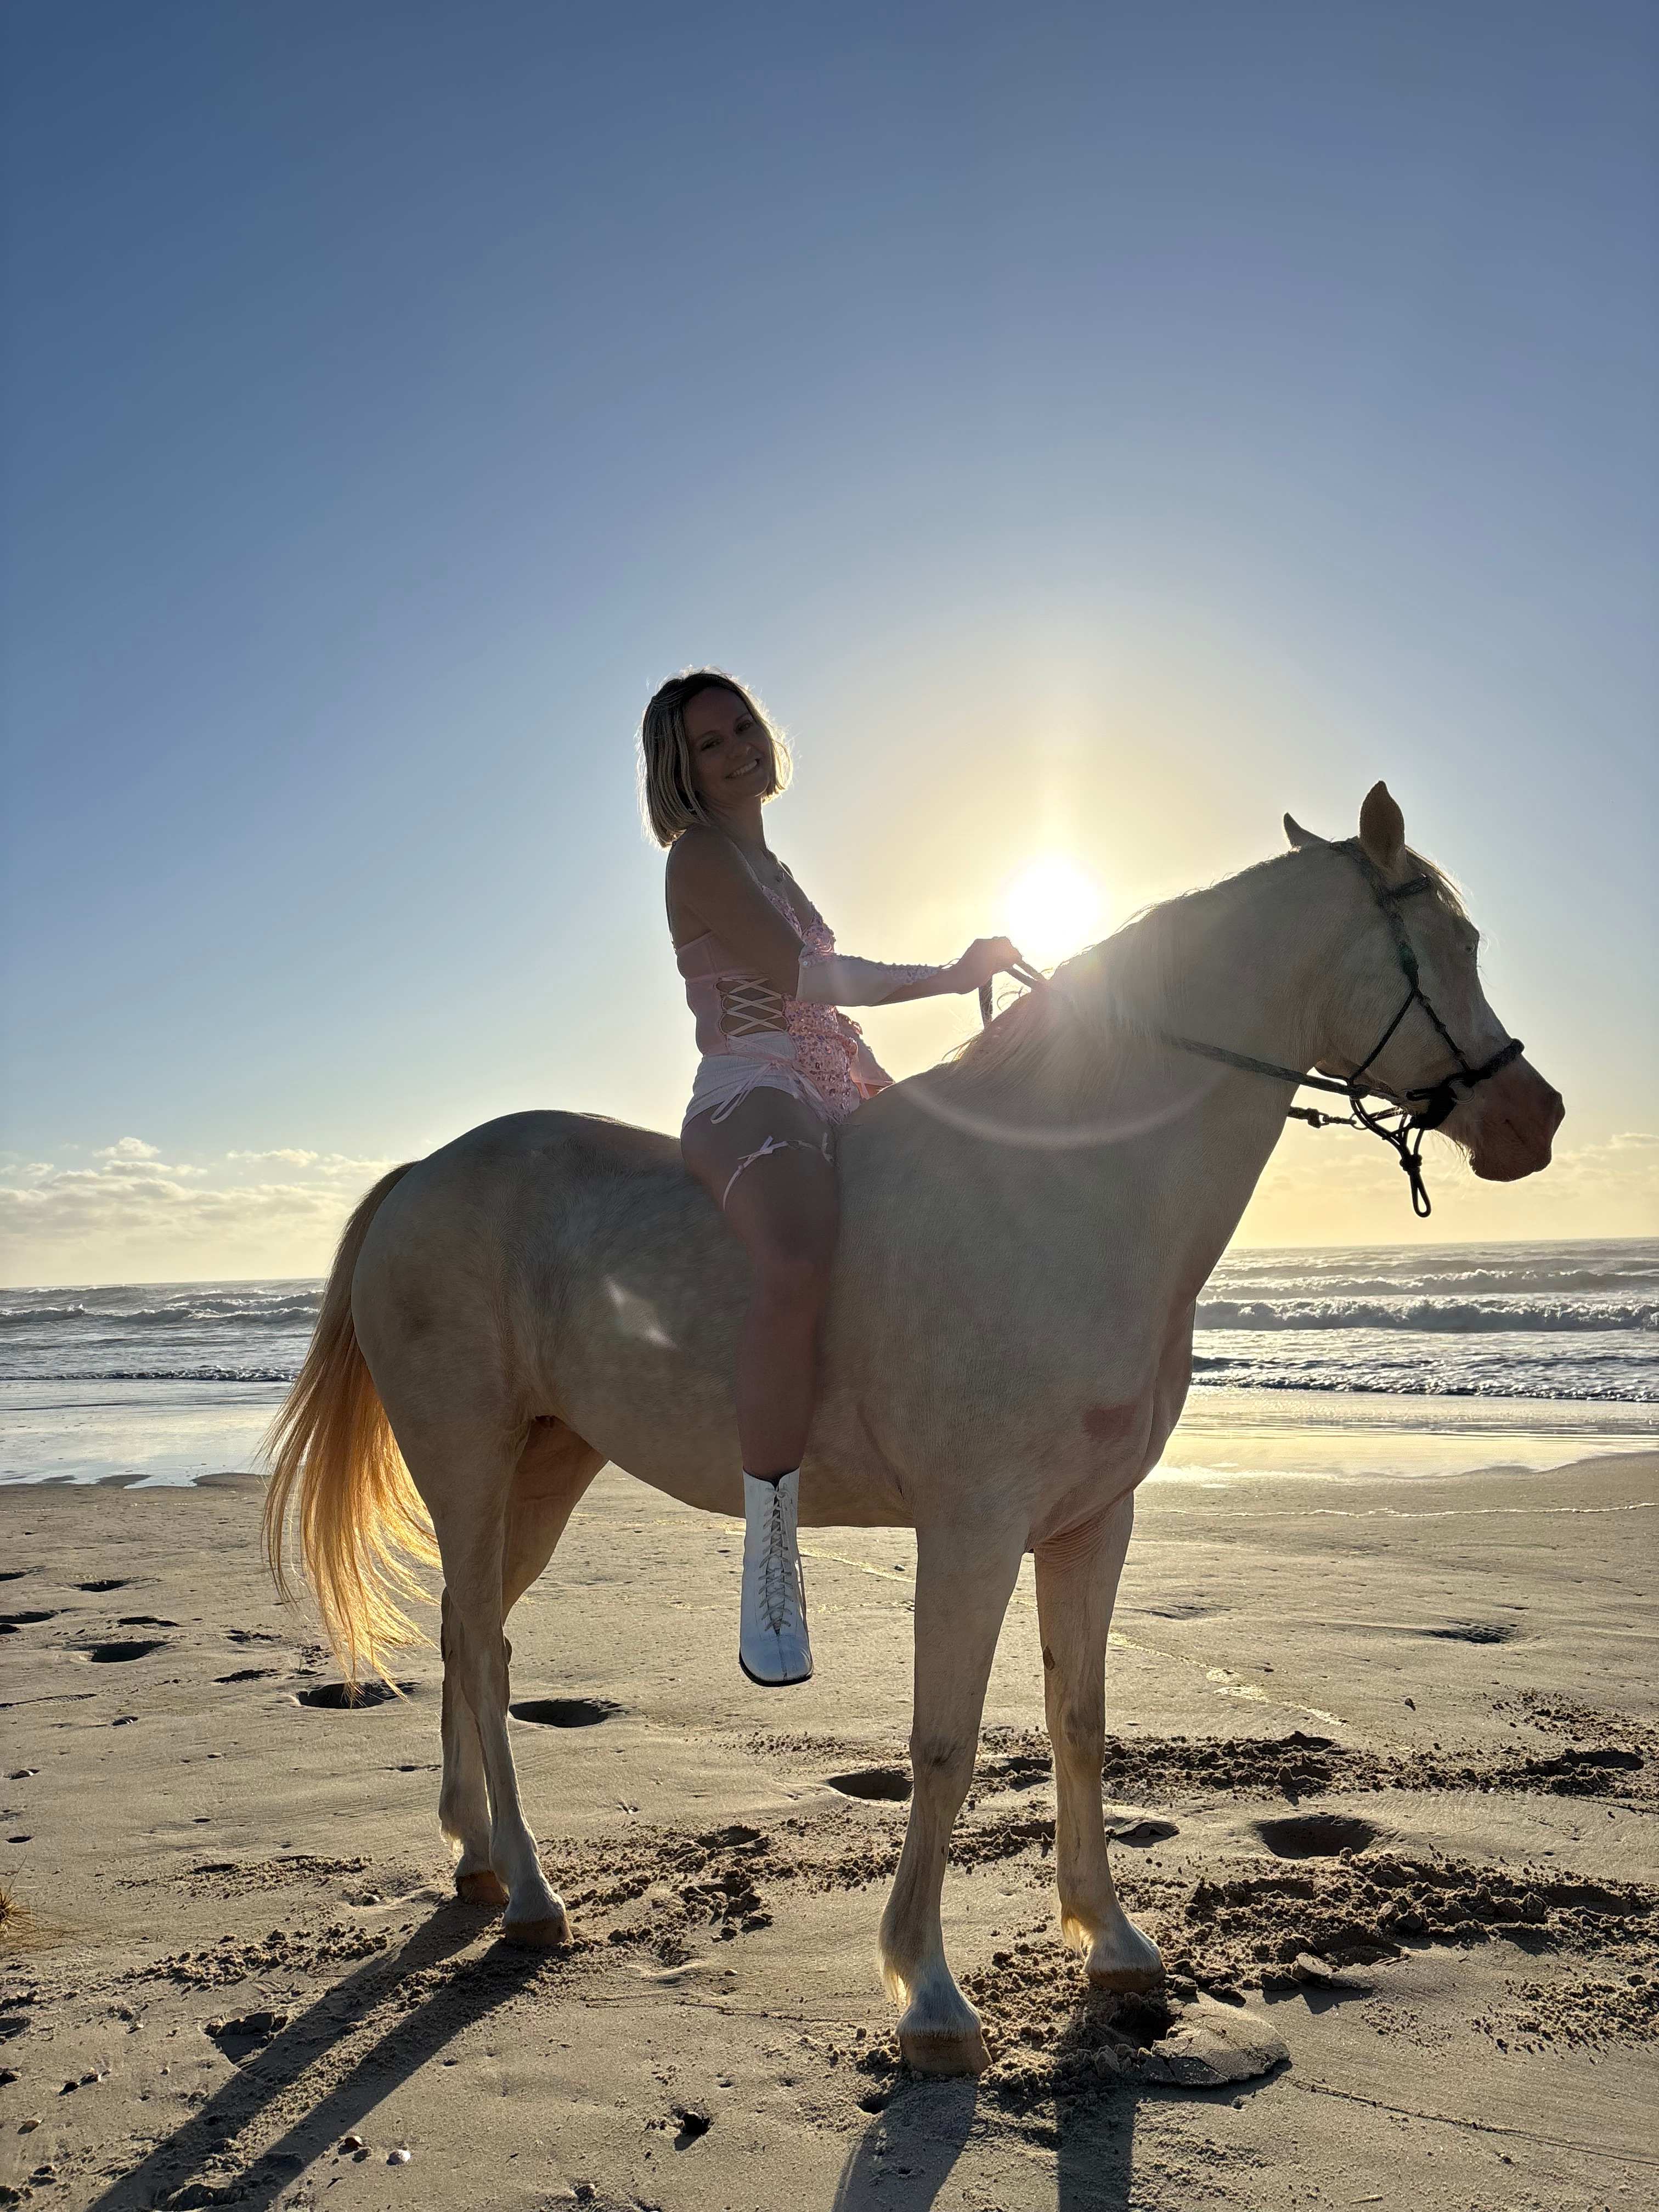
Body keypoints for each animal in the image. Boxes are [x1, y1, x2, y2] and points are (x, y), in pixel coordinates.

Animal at [263, 784, 1562, 2077]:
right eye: (1451, 944)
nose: (1533, 1119)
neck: (1068, 1191)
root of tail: (423, 1171)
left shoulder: (1092, 1524)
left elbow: (1079, 1721)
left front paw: (1110, 1938)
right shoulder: (972, 1529)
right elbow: (944, 1746)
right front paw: (929, 1991)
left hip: (545, 1466)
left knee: (460, 1629)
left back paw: (476, 1857)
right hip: (469, 1459)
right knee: (485, 1653)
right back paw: (533, 1894)